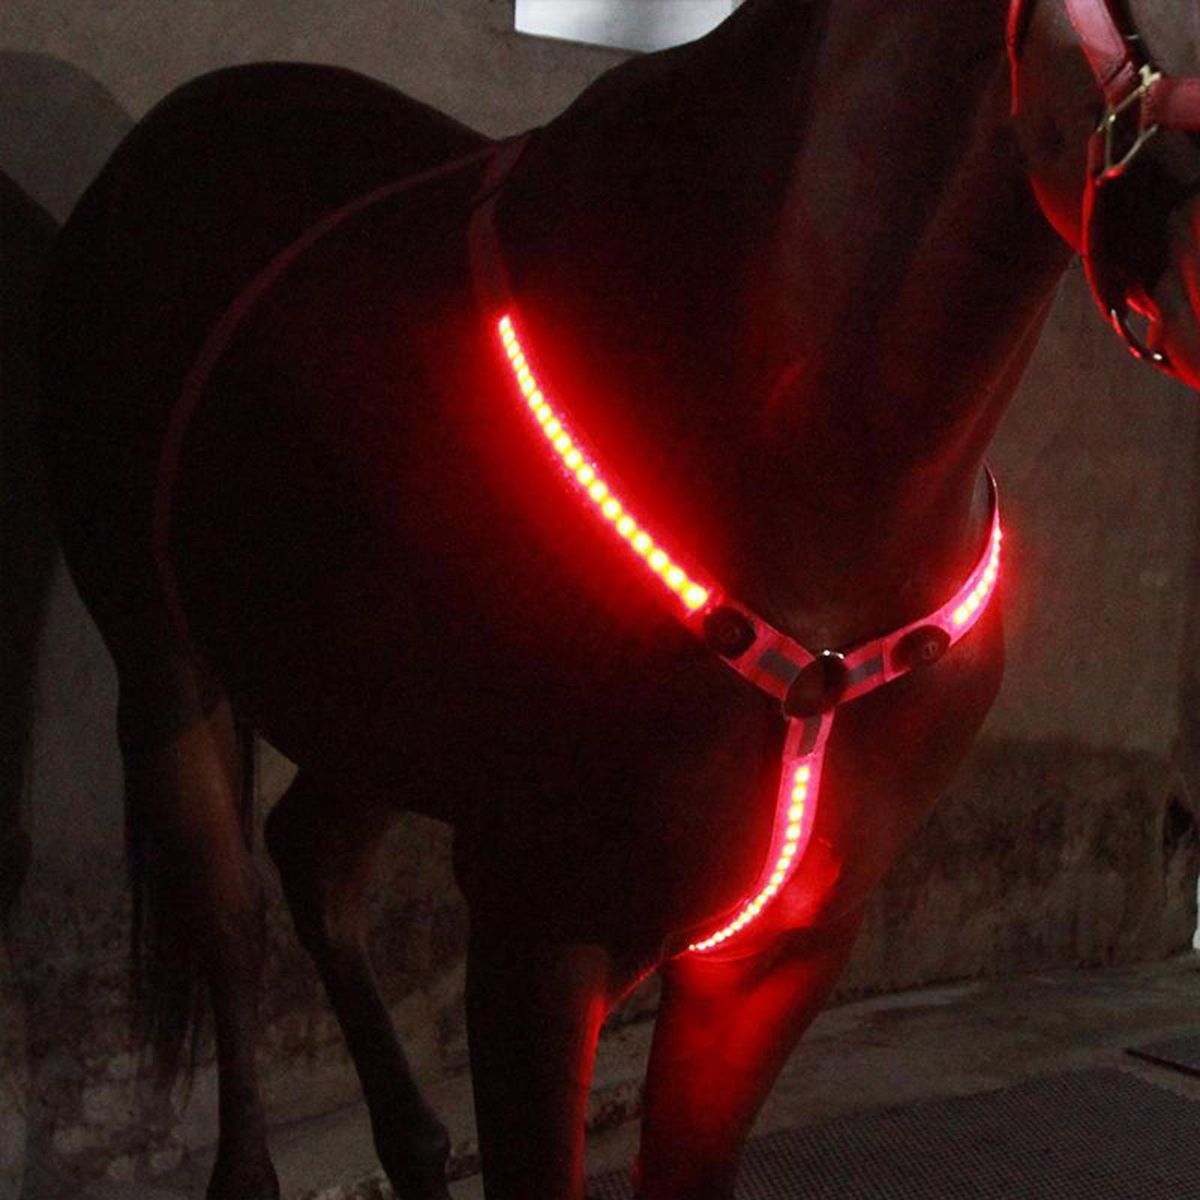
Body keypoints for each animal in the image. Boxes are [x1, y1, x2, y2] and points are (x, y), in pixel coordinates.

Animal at [35, 0, 1200, 1197]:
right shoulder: (542, 929)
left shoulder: (779, 956)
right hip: (159, 655)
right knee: (228, 910)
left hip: (369, 715)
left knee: (312, 856)